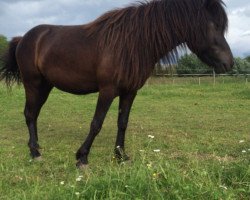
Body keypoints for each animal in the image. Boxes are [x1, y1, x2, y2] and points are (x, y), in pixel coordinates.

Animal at [0, 0, 234, 167]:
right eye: (213, 25)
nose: (229, 63)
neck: (131, 43)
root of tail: (24, 38)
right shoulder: (107, 90)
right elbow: (96, 123)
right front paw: (82, 157)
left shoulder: (129, 92)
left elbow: (122, 123)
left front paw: (121, 156)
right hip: (33, 83)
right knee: (30, 115)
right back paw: (35, 153)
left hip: (45, 86)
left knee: (34, 114)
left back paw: (37, 148)